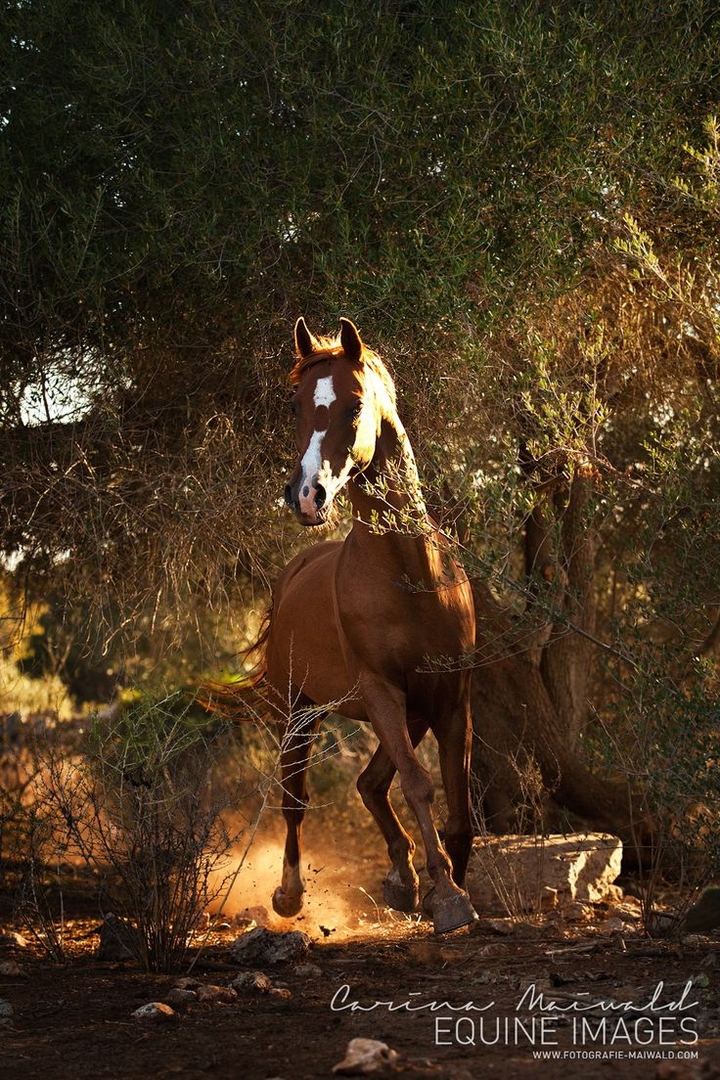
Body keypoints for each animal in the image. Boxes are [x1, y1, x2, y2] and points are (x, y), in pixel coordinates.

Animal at [243, 317, 477, 934]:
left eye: (353, 404)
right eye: (295, 404)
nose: (307, 495)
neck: (409, 573)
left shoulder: (450, 699)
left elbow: (459, 803)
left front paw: (451, 884)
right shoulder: (380, 691)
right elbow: (419, 785)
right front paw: (448, 895)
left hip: (411, 711)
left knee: (370, 783)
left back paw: (401, 878)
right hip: (300, 711)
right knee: (295, 798)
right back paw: (291, 894)